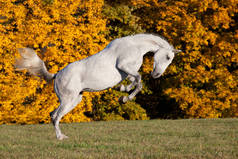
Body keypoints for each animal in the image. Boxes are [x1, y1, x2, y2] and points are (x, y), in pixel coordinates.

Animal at [14, 33, 180, 139]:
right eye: (167, 57)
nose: (156, 75)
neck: (135, 46)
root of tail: (57, 75)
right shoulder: (124, 66)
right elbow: (139, 81)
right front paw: (125, 98)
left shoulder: (128, 72)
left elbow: (135, 81)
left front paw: (122, 90)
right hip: (68, 100)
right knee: (55, 116)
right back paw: (60, 138)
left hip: (74, 101)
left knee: (53, 115)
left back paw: (61, 136)